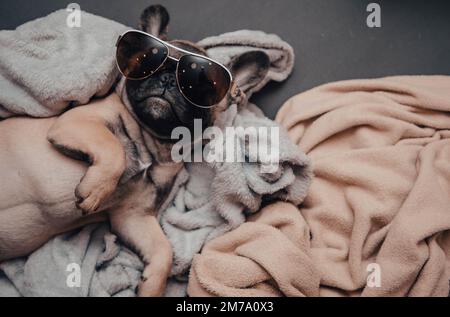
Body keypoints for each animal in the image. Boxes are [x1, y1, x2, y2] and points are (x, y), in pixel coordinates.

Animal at [0, 3, 268, 296]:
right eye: (148, 62)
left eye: (201, 84)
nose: (167, 78)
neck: (152, 141)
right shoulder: (76, 122)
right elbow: (113, 148)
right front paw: (95, 189)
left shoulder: (133, 216)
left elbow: (164, 250)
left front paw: (151, 286)